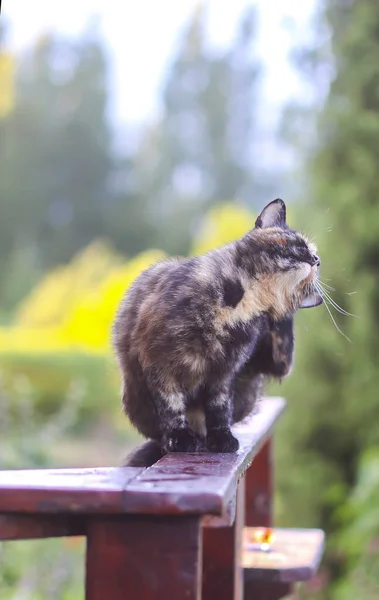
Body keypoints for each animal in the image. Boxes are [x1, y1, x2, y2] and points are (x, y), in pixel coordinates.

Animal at [111, 198, 322, 454]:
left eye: (315, 257)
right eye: (300, 245)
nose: (316, 260)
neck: (243, 301)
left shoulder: (225, 372)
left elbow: (219, 408)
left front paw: (222, 438)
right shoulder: (159, 363)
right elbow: (171, 405)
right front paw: (180, 438)